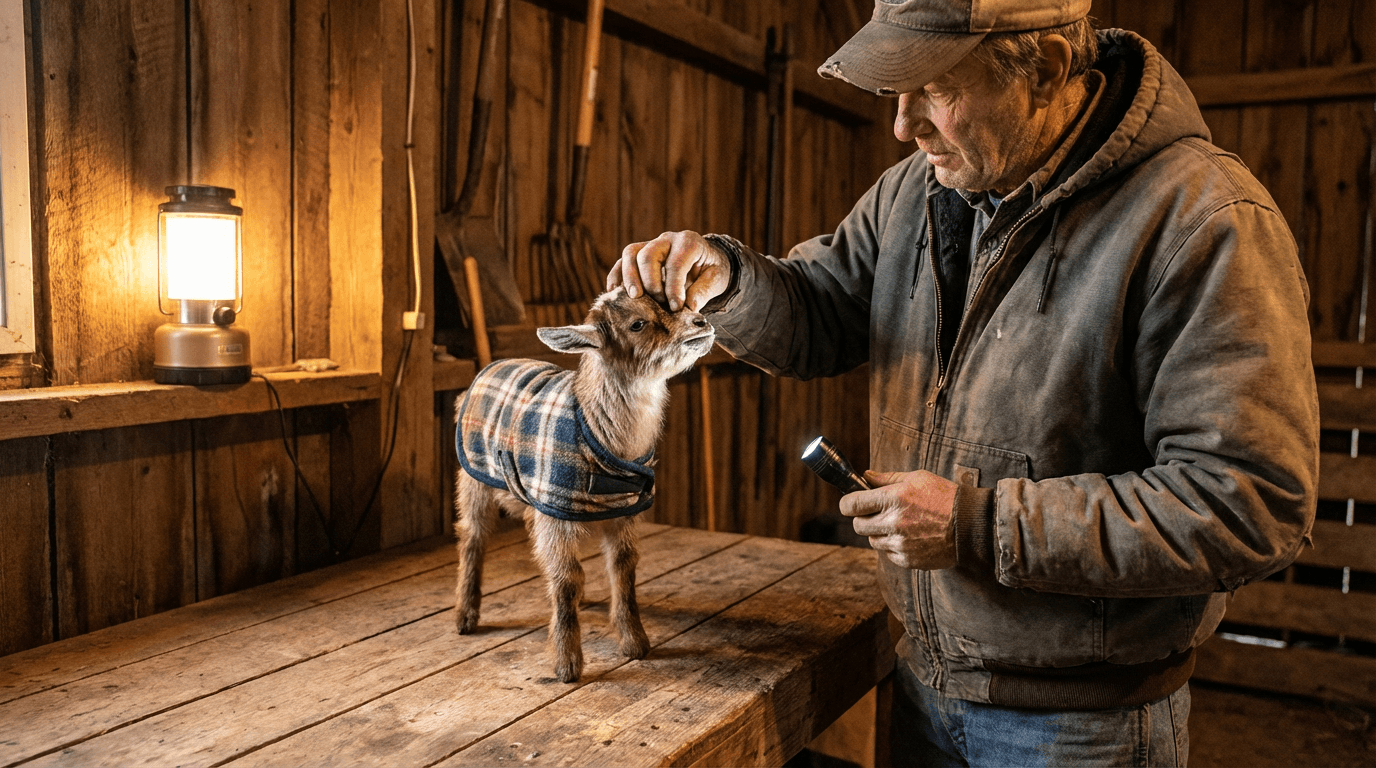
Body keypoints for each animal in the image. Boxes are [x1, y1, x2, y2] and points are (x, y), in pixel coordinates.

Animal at [453, 287, 715, 682]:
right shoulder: (555, 514)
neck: (596, 432)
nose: (702, 322)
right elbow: (567, 578)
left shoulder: (623, 509)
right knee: (473, 537)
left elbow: (623, 567)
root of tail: (493, 366)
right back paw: (465, 616)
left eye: (676, 303)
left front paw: (635, 643)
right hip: (473, 478)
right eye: (637, 324)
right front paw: (567, 664)